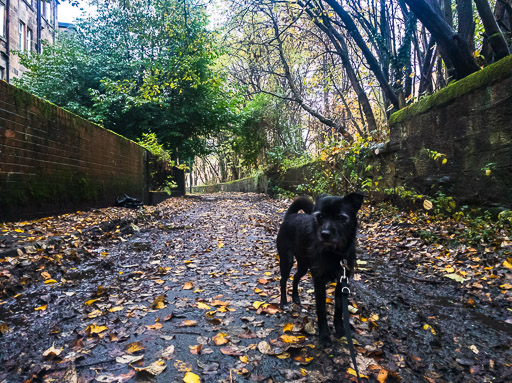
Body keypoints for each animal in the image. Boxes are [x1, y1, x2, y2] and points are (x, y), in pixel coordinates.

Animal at [276, 194, 364, 344]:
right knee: (283, 281)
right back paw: (284, 302)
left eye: (341, 217)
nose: (325, 234)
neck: (334, 254)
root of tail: (291, 216)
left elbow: (339, 309)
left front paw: (340, 330)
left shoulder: (342, 281)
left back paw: (295, 297)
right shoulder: (319, 282)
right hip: (287, 261)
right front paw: (324, 336)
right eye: (320, 216)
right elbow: (321, 311)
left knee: (295, 278)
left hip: (304, 265)